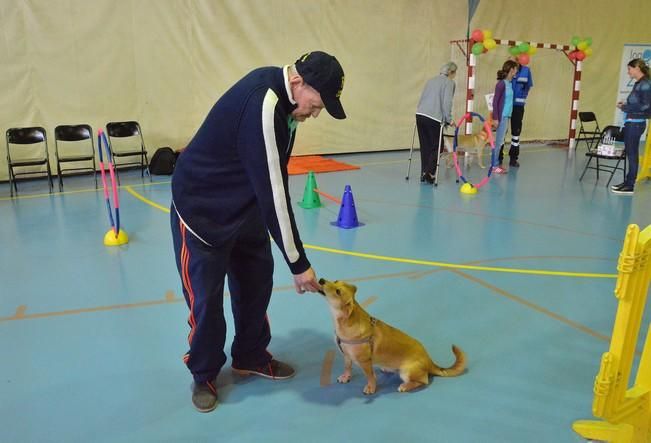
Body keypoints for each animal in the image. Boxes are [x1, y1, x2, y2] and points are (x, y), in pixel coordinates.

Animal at [318, 280, 466, 398]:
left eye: (338, 291)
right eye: (335, 281)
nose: (321, 280)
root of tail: (430, 361)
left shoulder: (365, 362)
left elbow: (370, 377)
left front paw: (371, 387)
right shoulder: (347, 355)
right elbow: (347, 367)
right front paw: (345, 377)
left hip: (406, 371)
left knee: (423, 380)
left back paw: (405, 386)